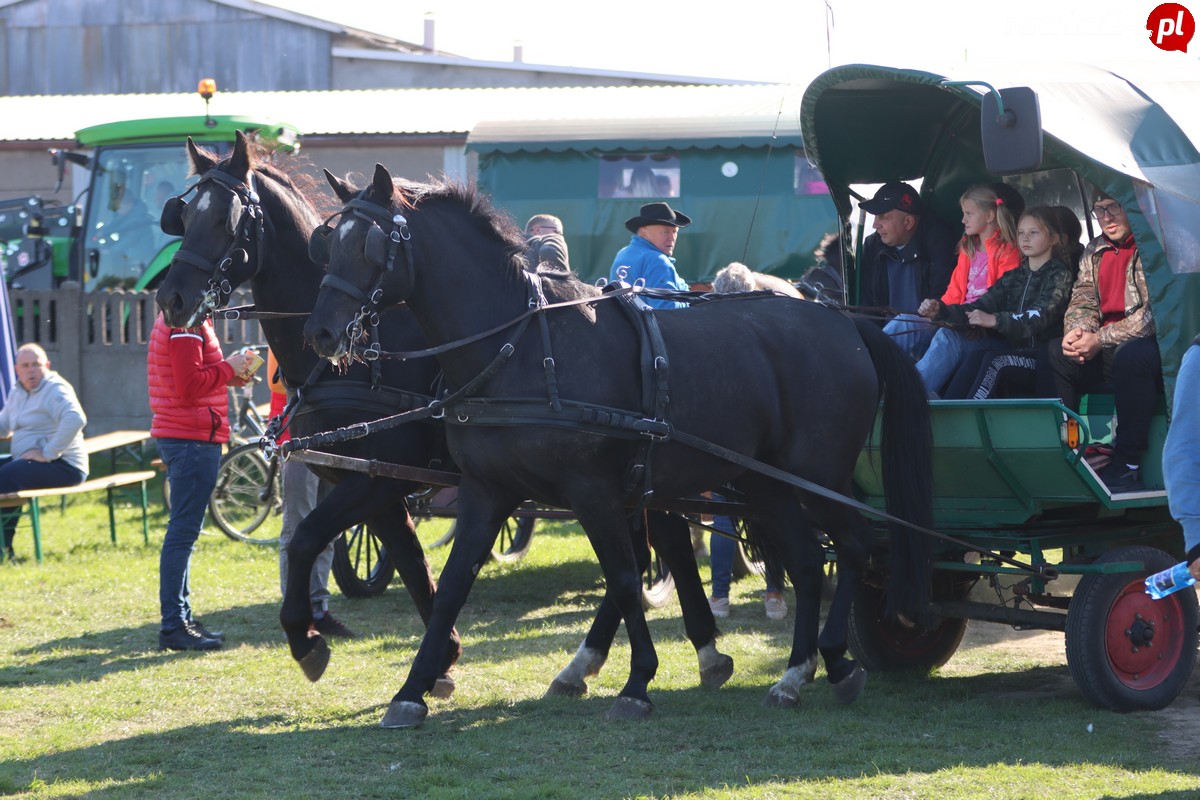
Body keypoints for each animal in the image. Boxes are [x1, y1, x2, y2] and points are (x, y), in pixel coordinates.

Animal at [150, 136, 729, 700]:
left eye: (225, 220)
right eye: (183, 215)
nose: (171, 298)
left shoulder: (375, 481)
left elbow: (308, 540)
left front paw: (308, 640)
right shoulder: (376, 485)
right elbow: (414, 566)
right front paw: (440, 660)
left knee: (660, 547)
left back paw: (689, 649)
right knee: (645, 550)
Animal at [302, 165, 936, 729]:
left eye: (370, 244)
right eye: (326, 244)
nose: (322, 333)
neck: (522, 349)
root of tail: (846, 325)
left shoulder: (596, 492)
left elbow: (627, 578)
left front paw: (637, 683)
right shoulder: (487, 492)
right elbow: (454, 584)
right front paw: (411, 692)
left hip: (817, 476)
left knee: (853, 546)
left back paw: (834, 661)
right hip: (766, 483)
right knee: (806, 560)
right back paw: (797, 673)